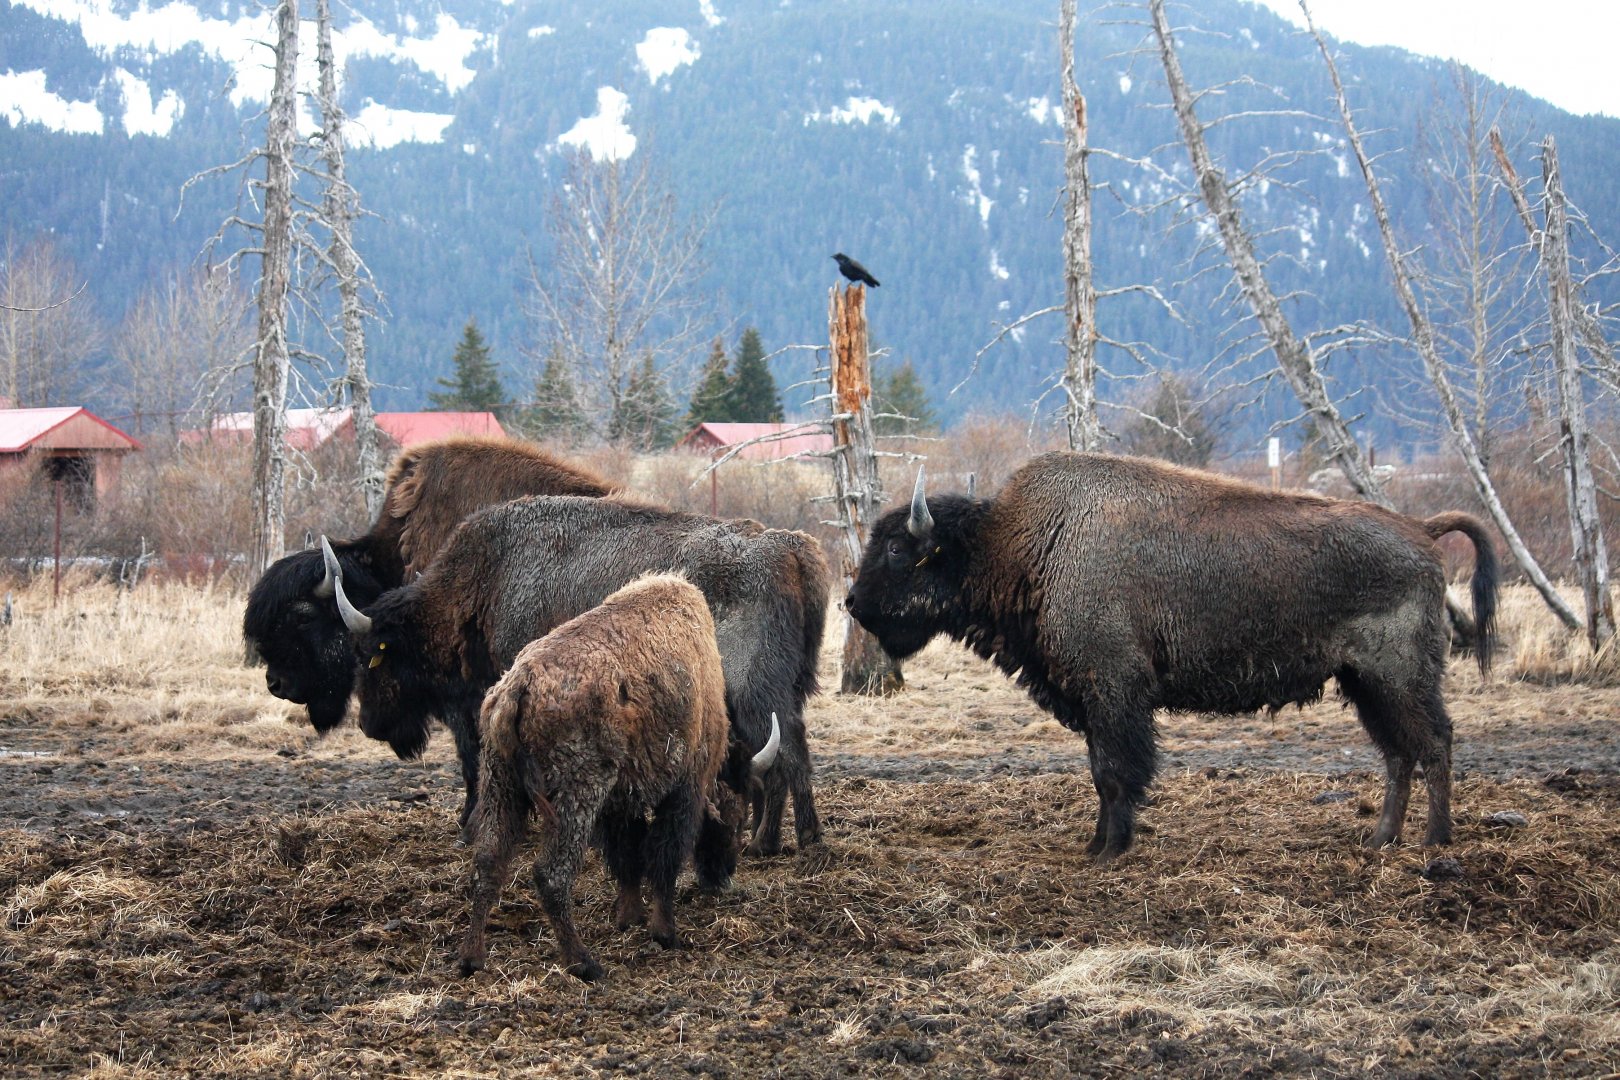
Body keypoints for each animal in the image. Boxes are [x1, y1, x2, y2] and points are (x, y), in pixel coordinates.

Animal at [327, 493, 830, 855]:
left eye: (372, 656)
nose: (369, 724)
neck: (485, 581)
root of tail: (789, 548)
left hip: (754, 693)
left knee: (786, 753)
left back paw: (783, 842)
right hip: (780, 691)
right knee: (785, 751)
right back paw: (784, 839)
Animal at [457, 573, 778, 980]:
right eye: (737, 816)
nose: (722, 878)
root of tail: (519, 684)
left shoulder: (619, 804)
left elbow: (628, 857)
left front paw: (629, 917)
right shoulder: (684, 789)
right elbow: (663, 857)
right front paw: (664, 933)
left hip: (502, 787)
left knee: (488, 863)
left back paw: (471, 958)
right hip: (575, 799)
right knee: (551, 874)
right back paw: (584, 962)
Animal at [845, 452, 1498, 862]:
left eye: (898, 547)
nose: (852, 602)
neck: (1017, 544)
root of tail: (1420, 529)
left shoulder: (1115, 692)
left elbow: (1117, 772)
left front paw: (1112, 851)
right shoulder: (1094, 700)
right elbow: (1099, 771)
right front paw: (1095, 845)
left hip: (1399, 677)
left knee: (1432, 743)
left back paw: (1434, 842)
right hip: (1364, 683)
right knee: (1399, 754)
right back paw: (1381, 840)